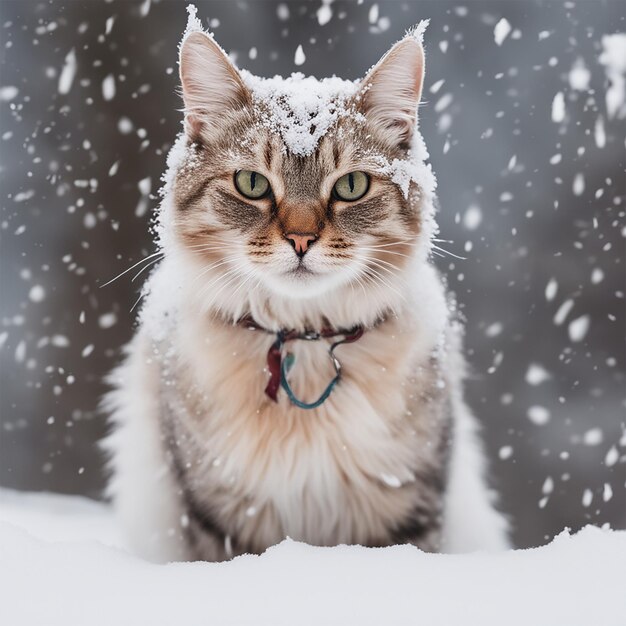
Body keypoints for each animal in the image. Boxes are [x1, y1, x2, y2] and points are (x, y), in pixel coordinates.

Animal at [101, 4, 508, 560]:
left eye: (351, 186)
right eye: (251, 184)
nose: (300, 239)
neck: (306, 342)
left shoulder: (407, 503)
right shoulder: (219, 510)